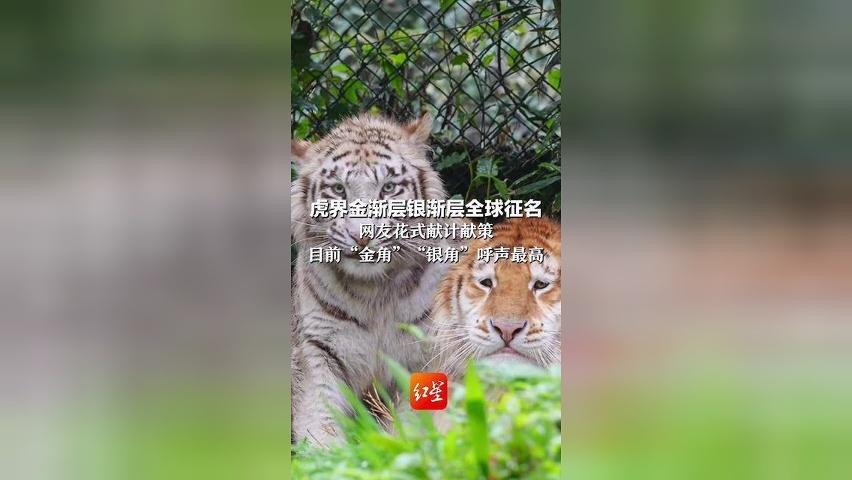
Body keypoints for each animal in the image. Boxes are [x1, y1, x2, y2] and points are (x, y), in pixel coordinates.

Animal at [290, 113, 453, 446]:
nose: (361, 236)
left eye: (388, 188)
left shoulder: (428, 353)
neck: (374, 291)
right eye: (338, 190)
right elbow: (321, 419)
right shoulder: (318, 350)